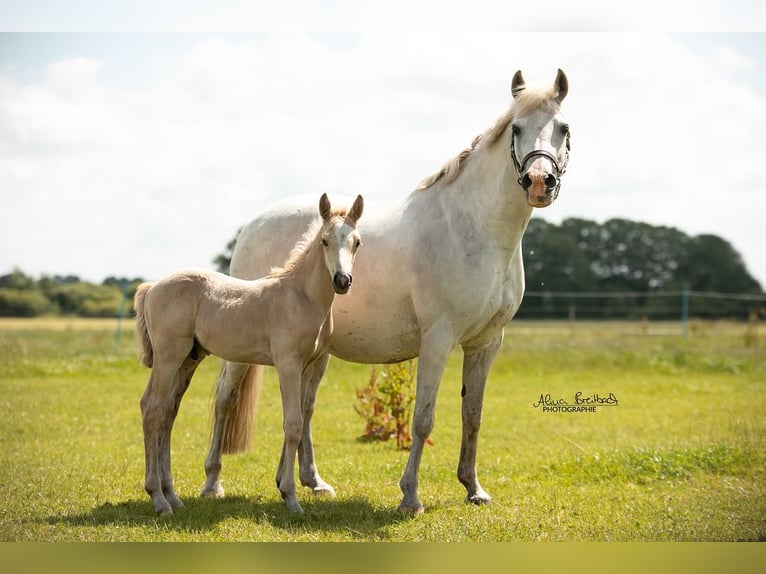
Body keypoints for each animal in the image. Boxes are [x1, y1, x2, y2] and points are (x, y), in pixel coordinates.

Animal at [134, 194, 364, 516]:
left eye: (356, 242)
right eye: (325, 241)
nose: (342, 281)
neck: (300, 296)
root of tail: (153, 286)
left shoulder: (307, 366)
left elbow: (299, 419)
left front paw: (286, 486)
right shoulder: (287, 363)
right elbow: (293, 424)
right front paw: (291, 498)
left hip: (188, 360)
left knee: (167, 411)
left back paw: (172, 496)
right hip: (168, 358)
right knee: (152, 409)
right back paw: (158, 498)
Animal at [204, 68, 568, 516]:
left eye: (564, 128)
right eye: (516, 128)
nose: (539, 182)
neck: (472, 229)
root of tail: (253, 225)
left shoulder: (486, 343)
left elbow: (473, 414)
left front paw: (473, 487)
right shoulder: (438, 339)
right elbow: (423, 418)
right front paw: (410, 496)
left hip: (315, 352)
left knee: (303, 408)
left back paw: (312, 482)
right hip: (242, 353)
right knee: (224, 398)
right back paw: (213, 483)